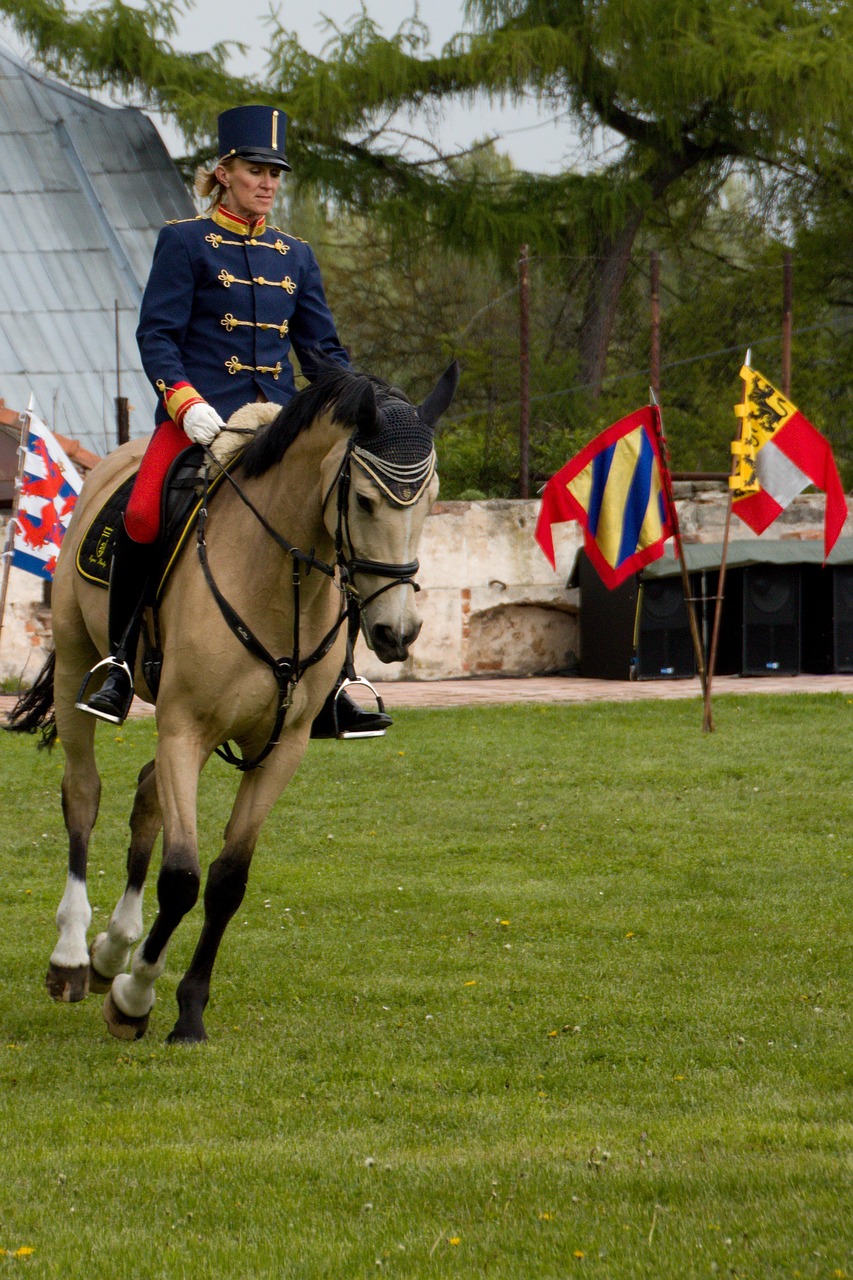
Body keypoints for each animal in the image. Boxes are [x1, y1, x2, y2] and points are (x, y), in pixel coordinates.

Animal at [6, 360, 458, 1039]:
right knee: (83, 794)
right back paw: (72, 957)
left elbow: (227, 880)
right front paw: (135, 999)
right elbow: (181, 877)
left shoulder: (281, 749)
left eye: (430, 500)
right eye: (363, 499)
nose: (396, 633)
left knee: (147, 795)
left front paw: (185, 1008)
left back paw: (114, 947)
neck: (275, 578)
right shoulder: (185, 729)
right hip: (79, 662)